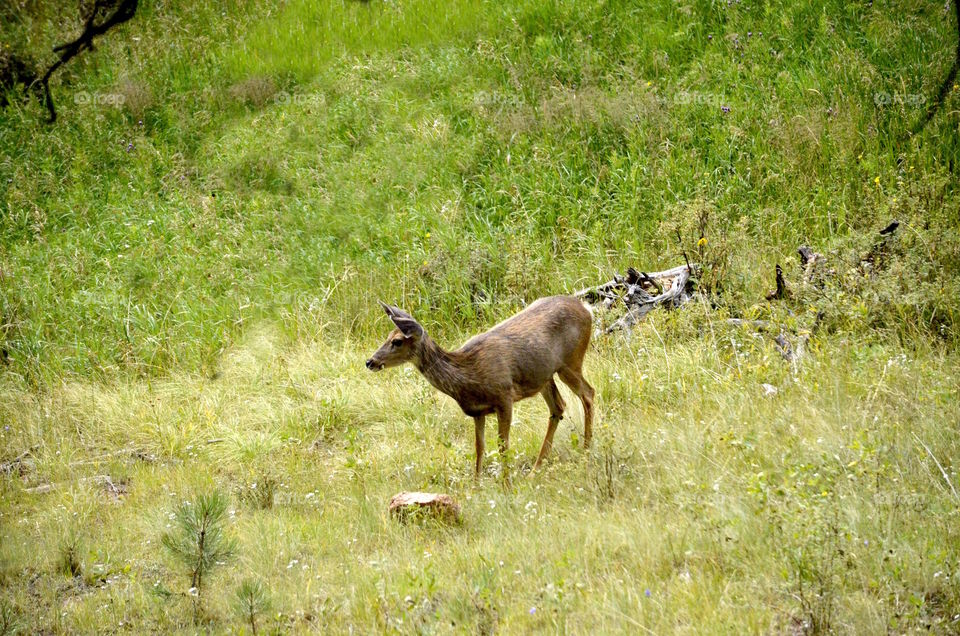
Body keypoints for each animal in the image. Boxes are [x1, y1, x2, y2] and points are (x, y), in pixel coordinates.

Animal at [366, 296, 595, 477]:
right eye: (387, 337)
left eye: (397, 341)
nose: (370, 361)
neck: (469, 375)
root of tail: (586, 309)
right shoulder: (477, 412)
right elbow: (479, 448)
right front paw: (477, 487)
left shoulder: (504, 397)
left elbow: (503, 447)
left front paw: (506, 486)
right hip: (544, 376)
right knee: (559, 406)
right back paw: (536, 470)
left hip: (571, 362)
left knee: (588, 394)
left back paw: (586, 452)